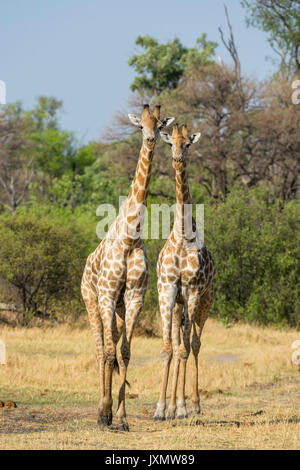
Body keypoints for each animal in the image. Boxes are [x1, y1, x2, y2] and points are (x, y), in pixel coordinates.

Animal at [81, 104, 176, 432]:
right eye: (140, 126)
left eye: (160, 125)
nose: (150, 139)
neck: (130, 236)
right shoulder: (108, 294)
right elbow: (109, 352)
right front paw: (105, 414)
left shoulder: (134, 297)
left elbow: (125, 353)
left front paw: (121, 418)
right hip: (93, 300)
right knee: (100, 349)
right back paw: (100, 411)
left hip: (119, 308)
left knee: (112, 348)